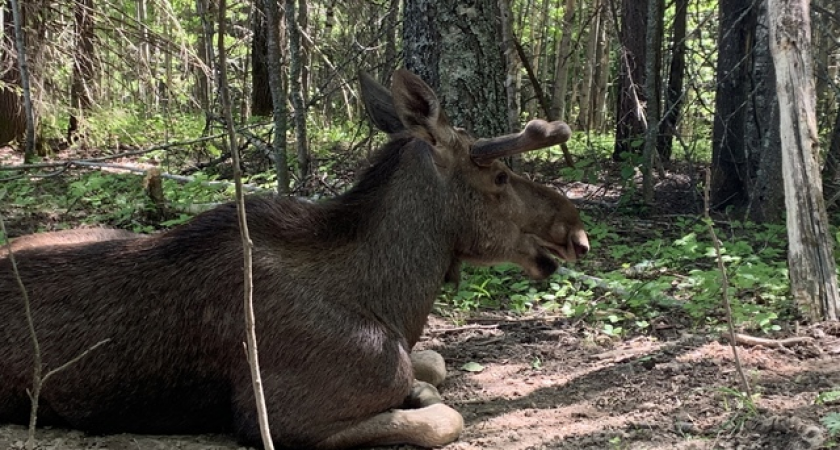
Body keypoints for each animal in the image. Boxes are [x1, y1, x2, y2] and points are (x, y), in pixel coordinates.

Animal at [1, 68, 592, 448]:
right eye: (500, 176)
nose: (576, 232)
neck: (392, 302)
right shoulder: (281, 417)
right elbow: (443, 418)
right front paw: (419, 395)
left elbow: (434, 361)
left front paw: (420, 383)